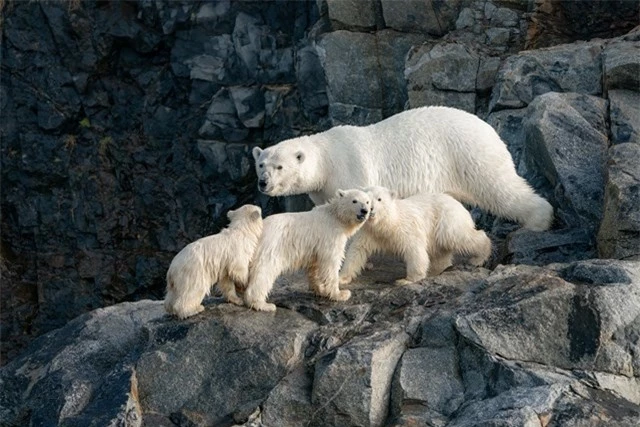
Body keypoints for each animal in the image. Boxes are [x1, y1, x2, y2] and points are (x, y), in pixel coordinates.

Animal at [244, 189, 372, 312]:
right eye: (354, 201)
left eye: (367, 202)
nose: (364, 211)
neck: (335, 217)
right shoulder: (330, 235)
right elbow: (331, 263)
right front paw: (340, 294)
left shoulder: (316, 246)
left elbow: (315, 265)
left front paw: (320, 289)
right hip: (272, 245)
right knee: (264, 271)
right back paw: (263, 304)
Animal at [252, 105, 552, 232]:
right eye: (260, 164)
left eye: (280, 166)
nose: (263, 182)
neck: (327, 158)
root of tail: (490, 129)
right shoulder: (325, 187)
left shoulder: (350, 169)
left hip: (470, 155)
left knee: (500, 187)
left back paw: (539, 219)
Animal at [340, 186, 490, 286]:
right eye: (365, 200)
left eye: (379, 199)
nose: (369, 209)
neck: (387, 224)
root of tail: (456, 202)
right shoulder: (369, 233)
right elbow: (357, 251)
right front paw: (342, 277)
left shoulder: (405, 229)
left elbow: (414, 249)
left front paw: (406, 280)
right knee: (441, 253)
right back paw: (438, 270)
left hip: (446, 220)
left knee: (459, 236)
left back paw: (479, 257)